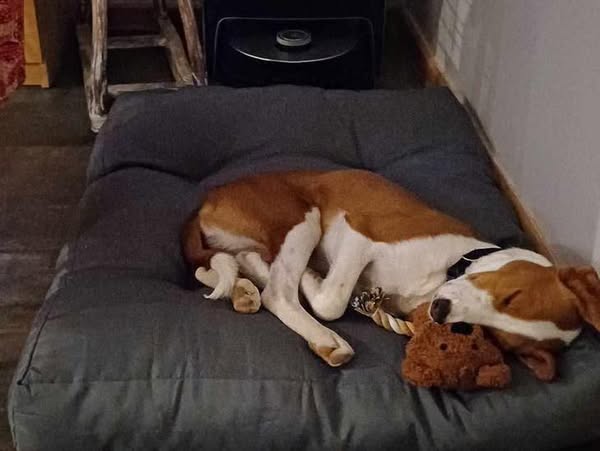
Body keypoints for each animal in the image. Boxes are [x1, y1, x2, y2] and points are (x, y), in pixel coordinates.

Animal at [182, 169, 600, 380]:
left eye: (494, 336)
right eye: (512, 295)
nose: (441, 312)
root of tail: (208, 201)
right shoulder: (360, 234)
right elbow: (332, 301)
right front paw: (314, 279)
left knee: (229, 264)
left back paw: (246, 288)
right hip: (303, 218)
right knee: (278, 292)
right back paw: (324, 335)